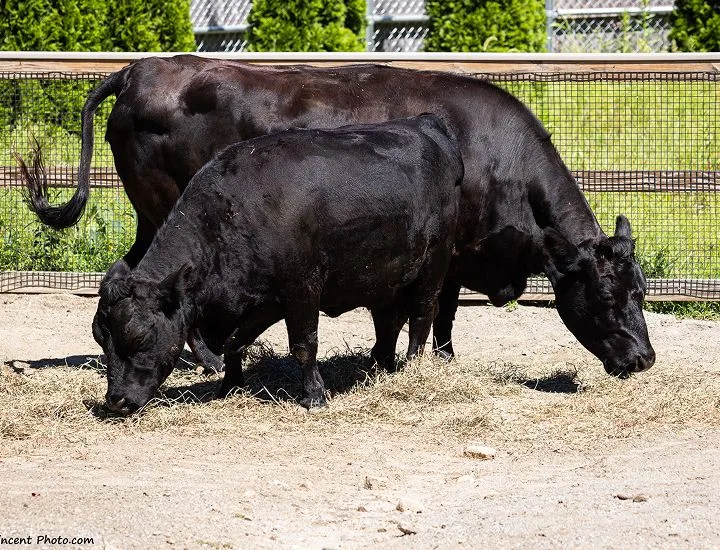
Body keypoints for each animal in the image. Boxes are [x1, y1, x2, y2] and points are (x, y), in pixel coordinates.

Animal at [22, 55, 655, 377]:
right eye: (605, 296)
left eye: (641, 293)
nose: (645, 358)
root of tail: (137, 71)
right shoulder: (447, 253)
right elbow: (434, 312)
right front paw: (428, 364)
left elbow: (416, 315)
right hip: (162, 209)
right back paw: (203, 358)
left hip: (151, 216)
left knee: (126, 273)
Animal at [89, 114, 463, 413]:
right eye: (99, 338)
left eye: (138, 336)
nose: (115, 400)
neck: (232, 214)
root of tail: (426, 124)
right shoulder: (264, 300)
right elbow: (234, 341)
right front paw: (229, 386)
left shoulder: (302, 289)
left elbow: (303, 345)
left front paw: (314, 396)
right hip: (385, 278)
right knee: (388, 320)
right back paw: (381, 365)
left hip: (434, 263)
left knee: (421, 315)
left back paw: (411, 367)